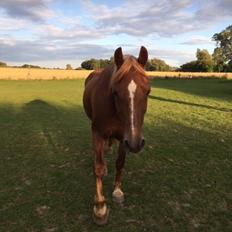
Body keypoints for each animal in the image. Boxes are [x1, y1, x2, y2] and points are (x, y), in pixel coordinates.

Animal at [83, 45, 150, 225]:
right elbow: (98, 168)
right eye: (115, 92)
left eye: (148, 92)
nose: (136, 143)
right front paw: (100, 207)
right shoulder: (98, 133)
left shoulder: (124, 138)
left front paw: (117, 191)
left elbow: (120, 163)